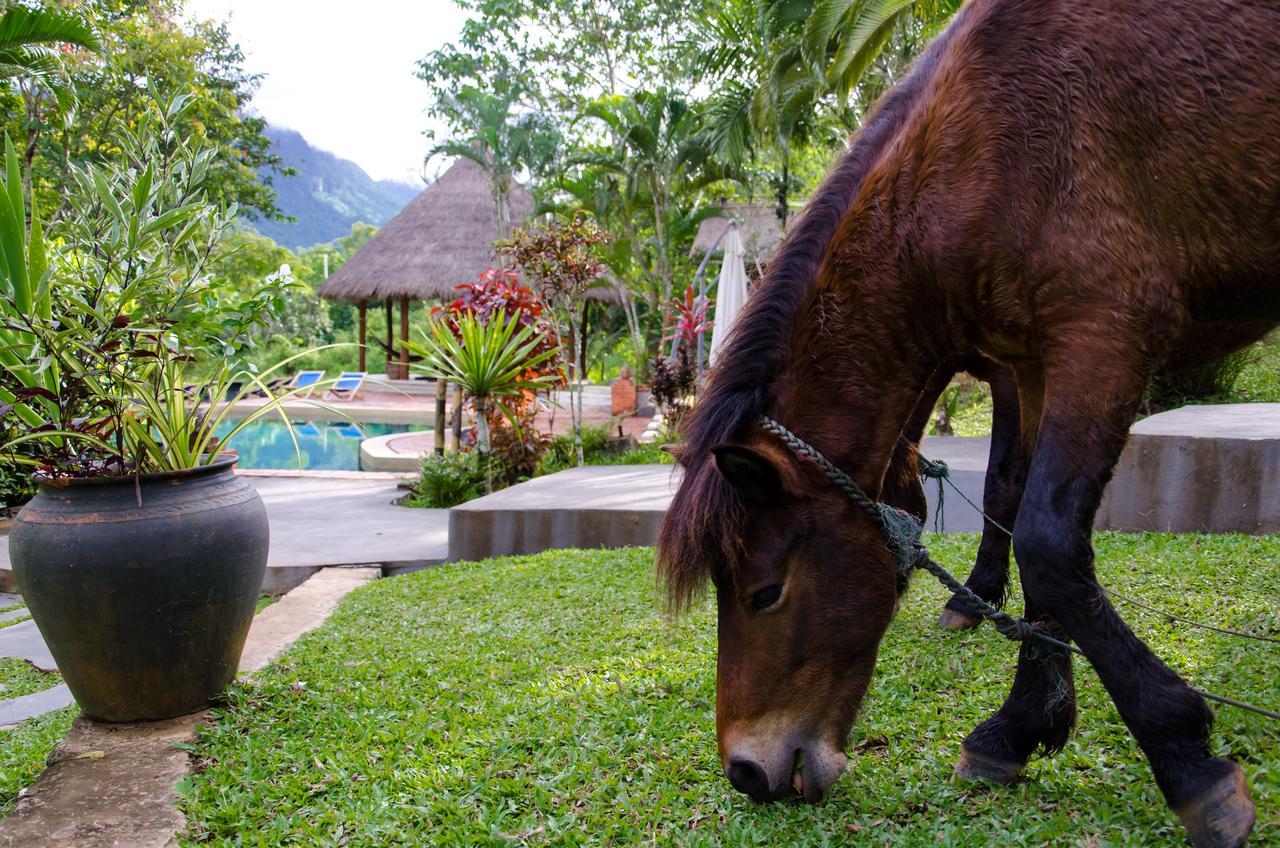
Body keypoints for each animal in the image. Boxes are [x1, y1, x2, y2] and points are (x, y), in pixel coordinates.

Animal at [660, 3, 1280, 845]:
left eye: (764, 593)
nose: (747, 773)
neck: (983, 149)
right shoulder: (1036, 364)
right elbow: (1027, 530)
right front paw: (1019, 726)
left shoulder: (1103, 337)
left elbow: (1047, 539)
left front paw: (1187, 761)